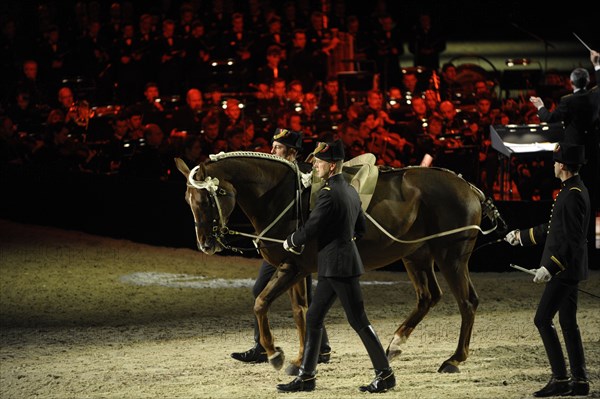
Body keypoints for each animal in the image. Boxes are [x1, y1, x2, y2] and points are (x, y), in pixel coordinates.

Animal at [175, 152, 506, 376]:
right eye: (187, 199)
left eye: (209, 197)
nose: (206, 244)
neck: (285, 196)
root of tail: (467, 185)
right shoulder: (296, 270)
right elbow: (301, 313)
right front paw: (300, 359)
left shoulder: (291, 269)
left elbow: (261, 303)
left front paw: (275, 354)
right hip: (417, 256)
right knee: (428, 297)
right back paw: (396, 344)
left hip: (451, 257)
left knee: (467, 302)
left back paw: (454, 359)